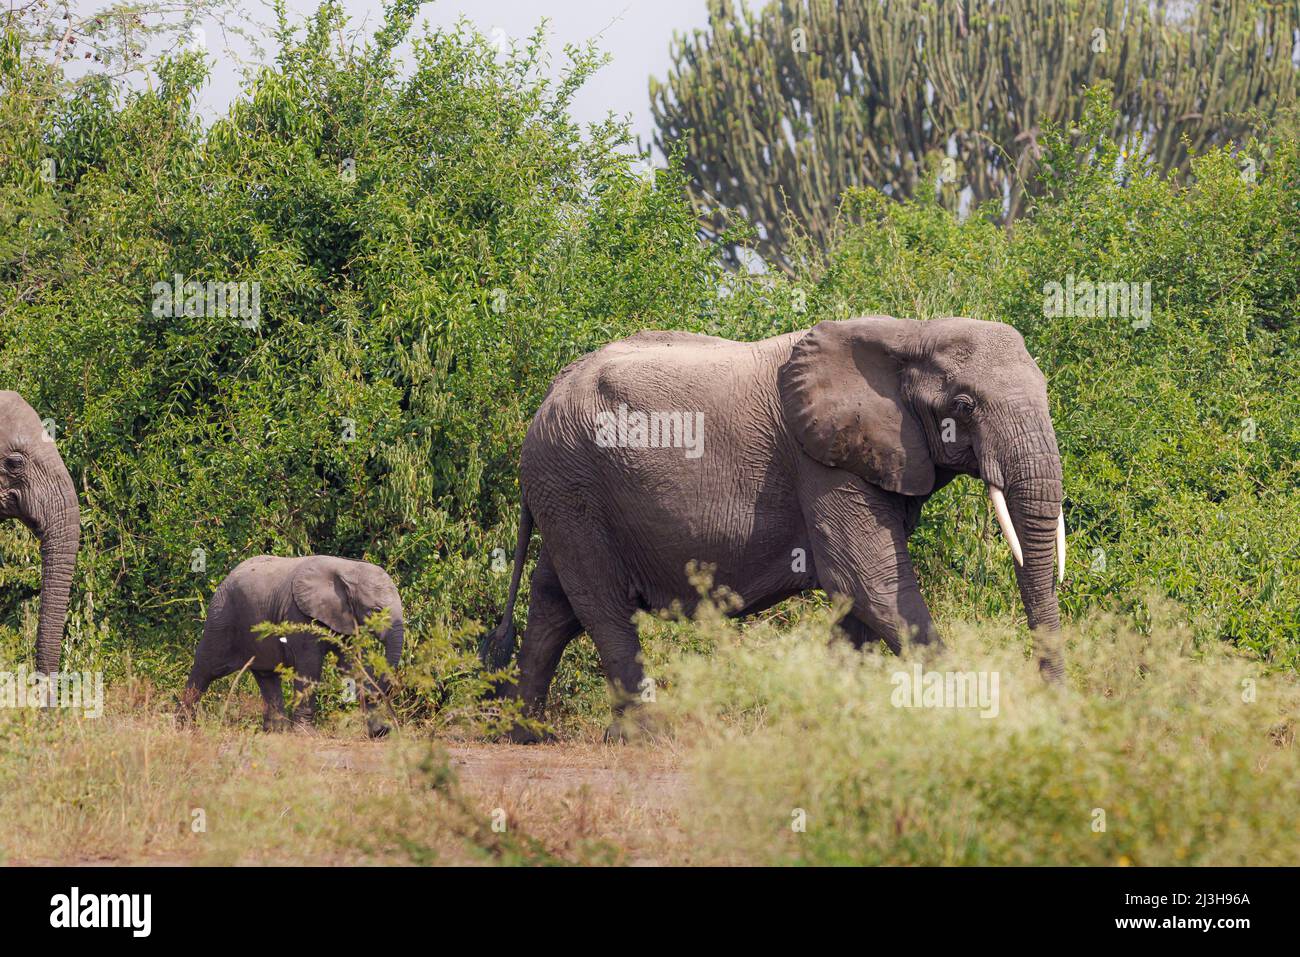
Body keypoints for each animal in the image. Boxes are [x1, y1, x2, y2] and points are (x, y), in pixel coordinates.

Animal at [178, 548, 400, 738]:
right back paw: (183, 726)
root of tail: (227, 577)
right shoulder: (298, 614)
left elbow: (351, 664)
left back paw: (276, 731)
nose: (388, 727)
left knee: (266, 675)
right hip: (222, 616)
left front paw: (379, 732)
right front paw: (306, 734)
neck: (348, 567)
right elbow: (310, 665)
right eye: (376, 611)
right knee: (208, 666)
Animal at [486, 317, 1066, 738]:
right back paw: (642, 738)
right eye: (965, 405)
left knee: (554, 602)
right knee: (601, 606)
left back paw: (526, 734)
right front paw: (978, 719)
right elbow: (872, 583)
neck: (910, 333)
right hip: (570, 480)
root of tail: (550, 392)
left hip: (565, 489)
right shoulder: (822, 462)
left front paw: (836, 725)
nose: (1056, 713)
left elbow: (857, 604)